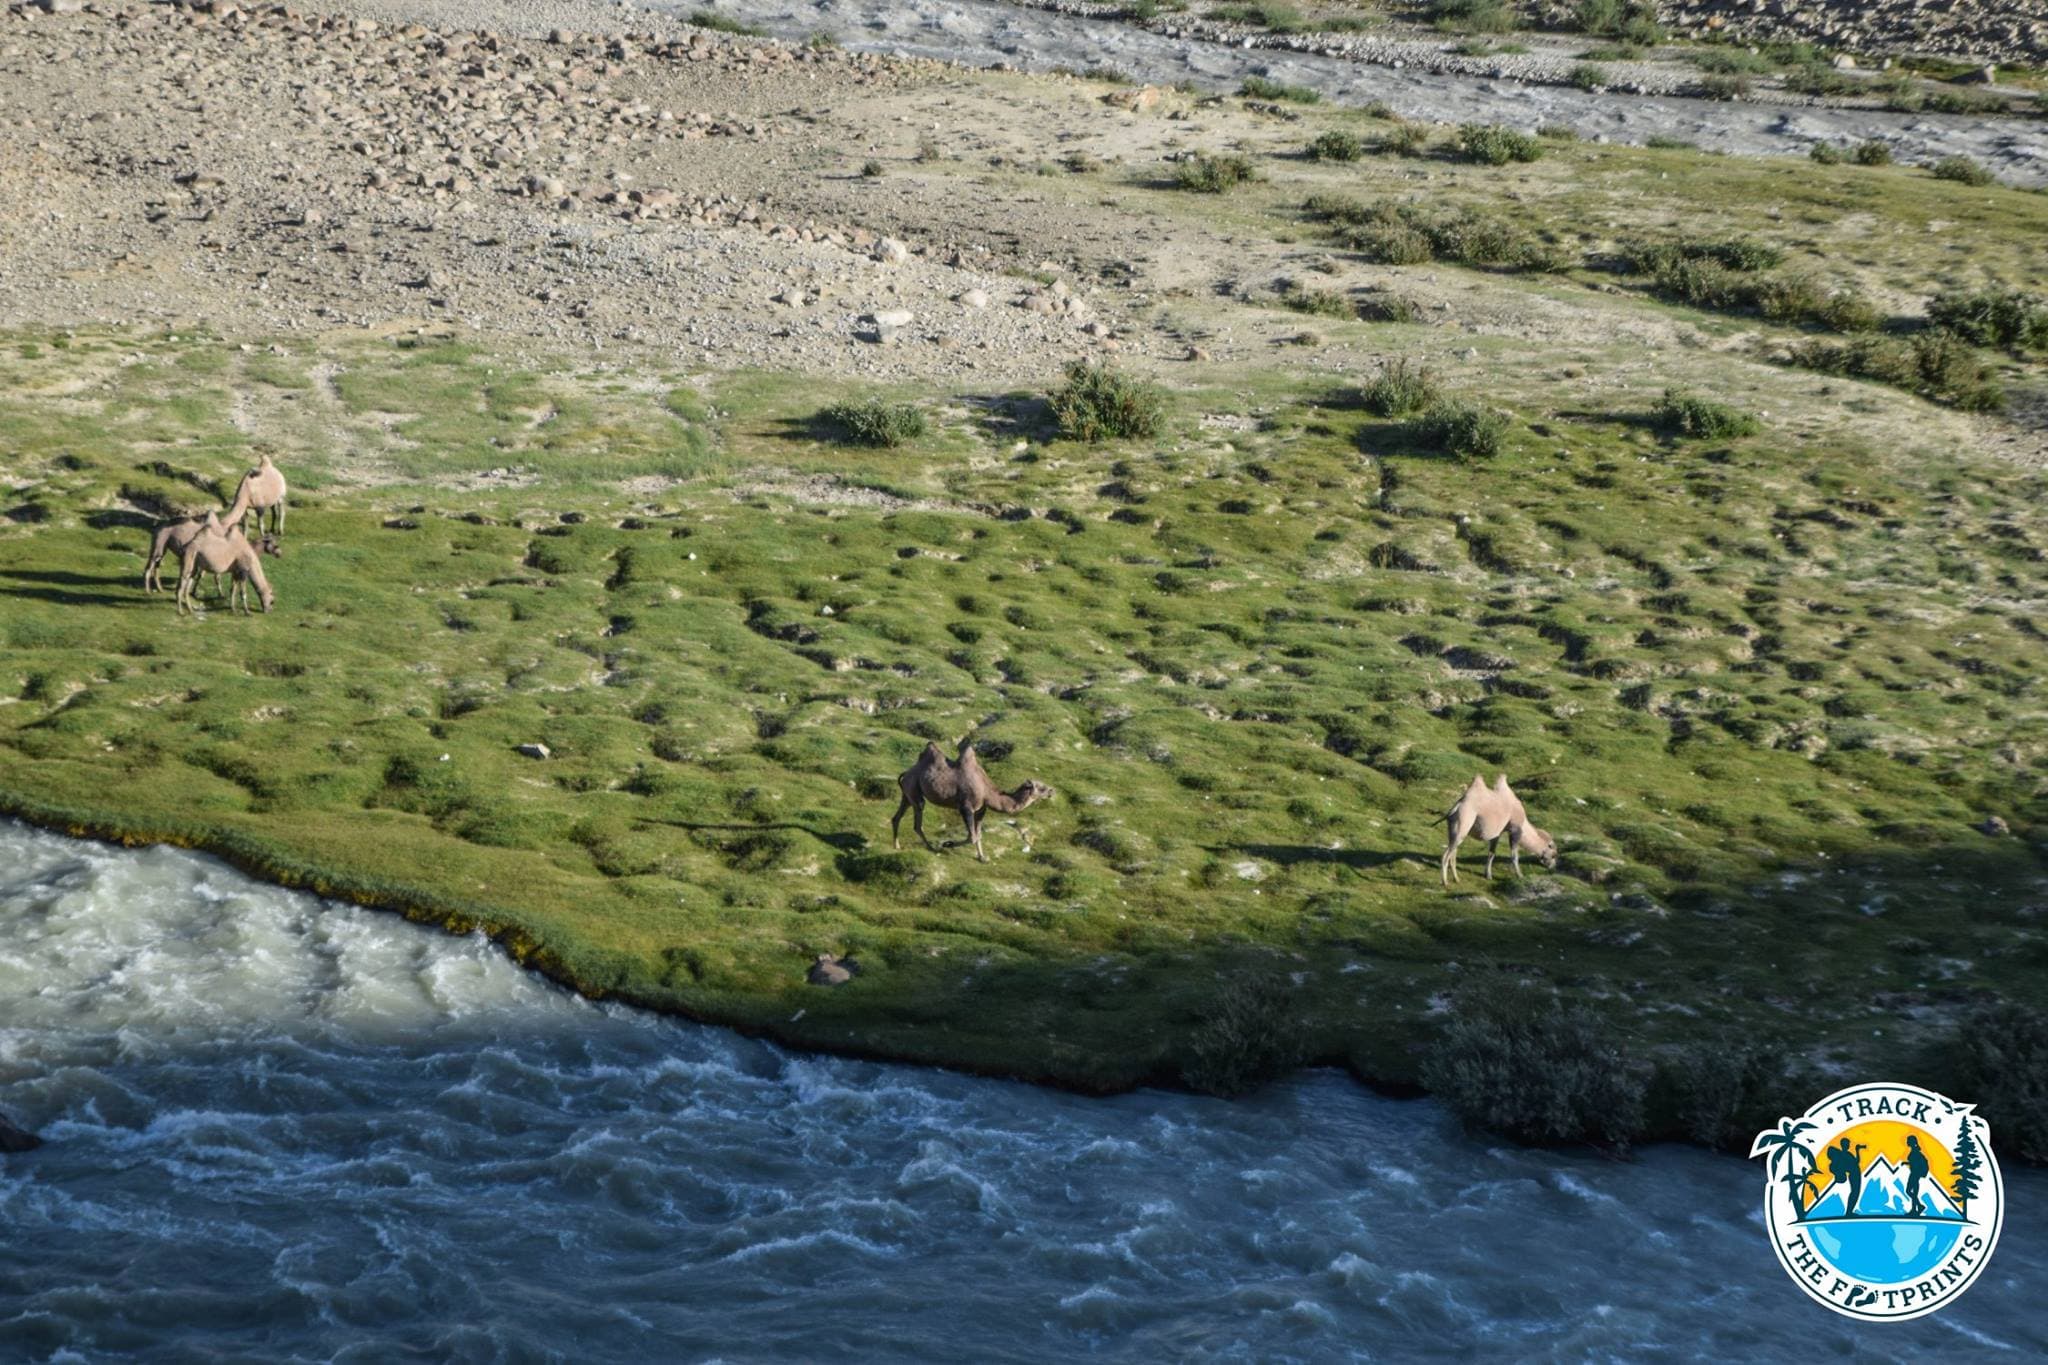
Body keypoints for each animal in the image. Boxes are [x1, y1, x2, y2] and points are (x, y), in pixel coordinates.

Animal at [892, 740, 1054, 862]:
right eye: (1041, 788)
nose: (1052, 791)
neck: (987, 792)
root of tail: (905, 773)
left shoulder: (981, 810)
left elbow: (978, 835)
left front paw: (982, 858)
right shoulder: (966, 807)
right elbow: (972, 837)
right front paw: (947, 844)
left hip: (907, 793)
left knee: (897, 817)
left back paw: (897, 845)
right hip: (915, 791)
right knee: (917, 823)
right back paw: (930, 847)